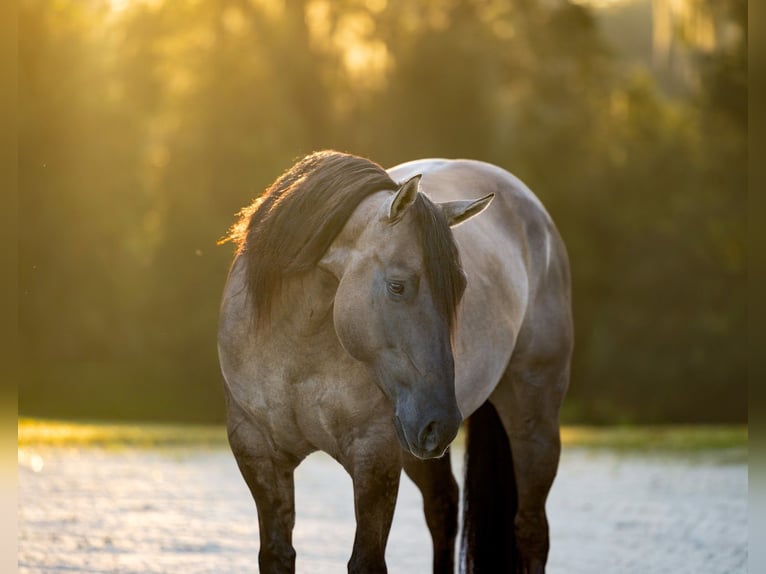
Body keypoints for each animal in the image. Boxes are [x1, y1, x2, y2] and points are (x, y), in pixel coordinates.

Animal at [217, 150, 573, 574]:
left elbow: (366, 560)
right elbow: (276, 554)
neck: (295, 348)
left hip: (529, 422)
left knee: (531, 529)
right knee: (443, 508)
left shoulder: (375, 456)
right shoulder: (257, 451)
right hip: (419, 444)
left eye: (461, 289)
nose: (441, 421)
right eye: (397, 286)